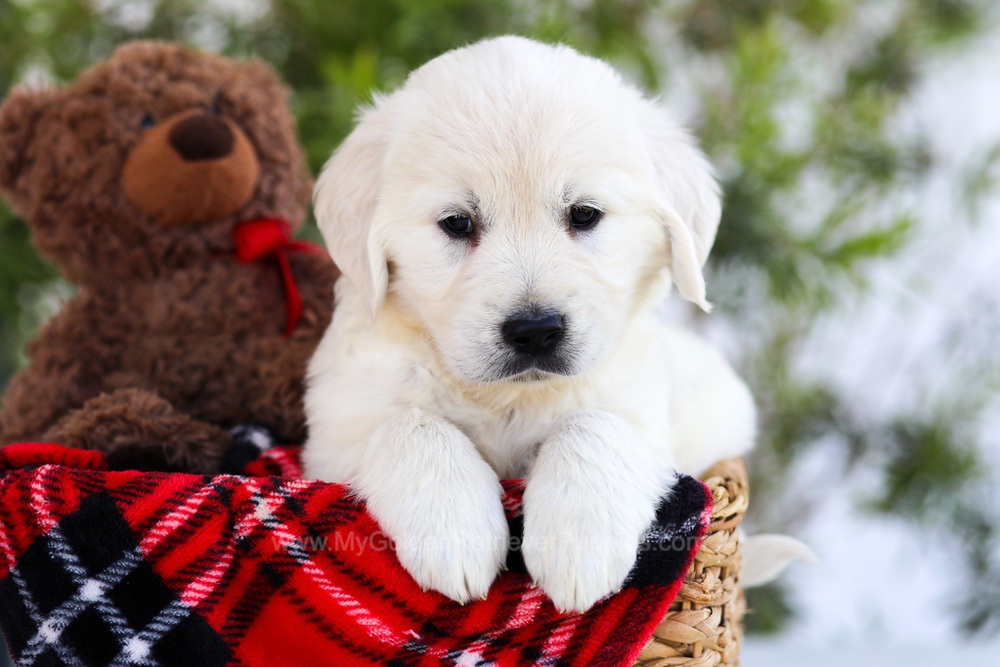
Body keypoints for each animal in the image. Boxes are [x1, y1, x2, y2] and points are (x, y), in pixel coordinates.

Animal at [304, 35, 756, 612]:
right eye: (457, 223)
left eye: (584, 214)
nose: (535, 331)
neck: (508, 399)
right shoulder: (335, 431)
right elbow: (412, 424)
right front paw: (456, 532)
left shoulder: (645, 413)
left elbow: (595, 423)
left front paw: (578, 546)